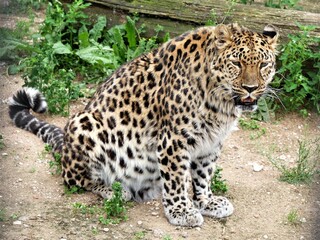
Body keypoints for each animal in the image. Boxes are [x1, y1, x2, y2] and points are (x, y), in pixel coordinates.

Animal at [7, 23, 278, 227]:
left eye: (263, 65)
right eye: (237, 64)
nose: (251, 88)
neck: (220, 101)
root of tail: (64, 149)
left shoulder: (212, 141)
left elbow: (203, 175)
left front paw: (206, 202)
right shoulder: (174, 139)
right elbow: (176, 178)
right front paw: (182, 212)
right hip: (83, 124)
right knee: (75, 180)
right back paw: (114, 190)